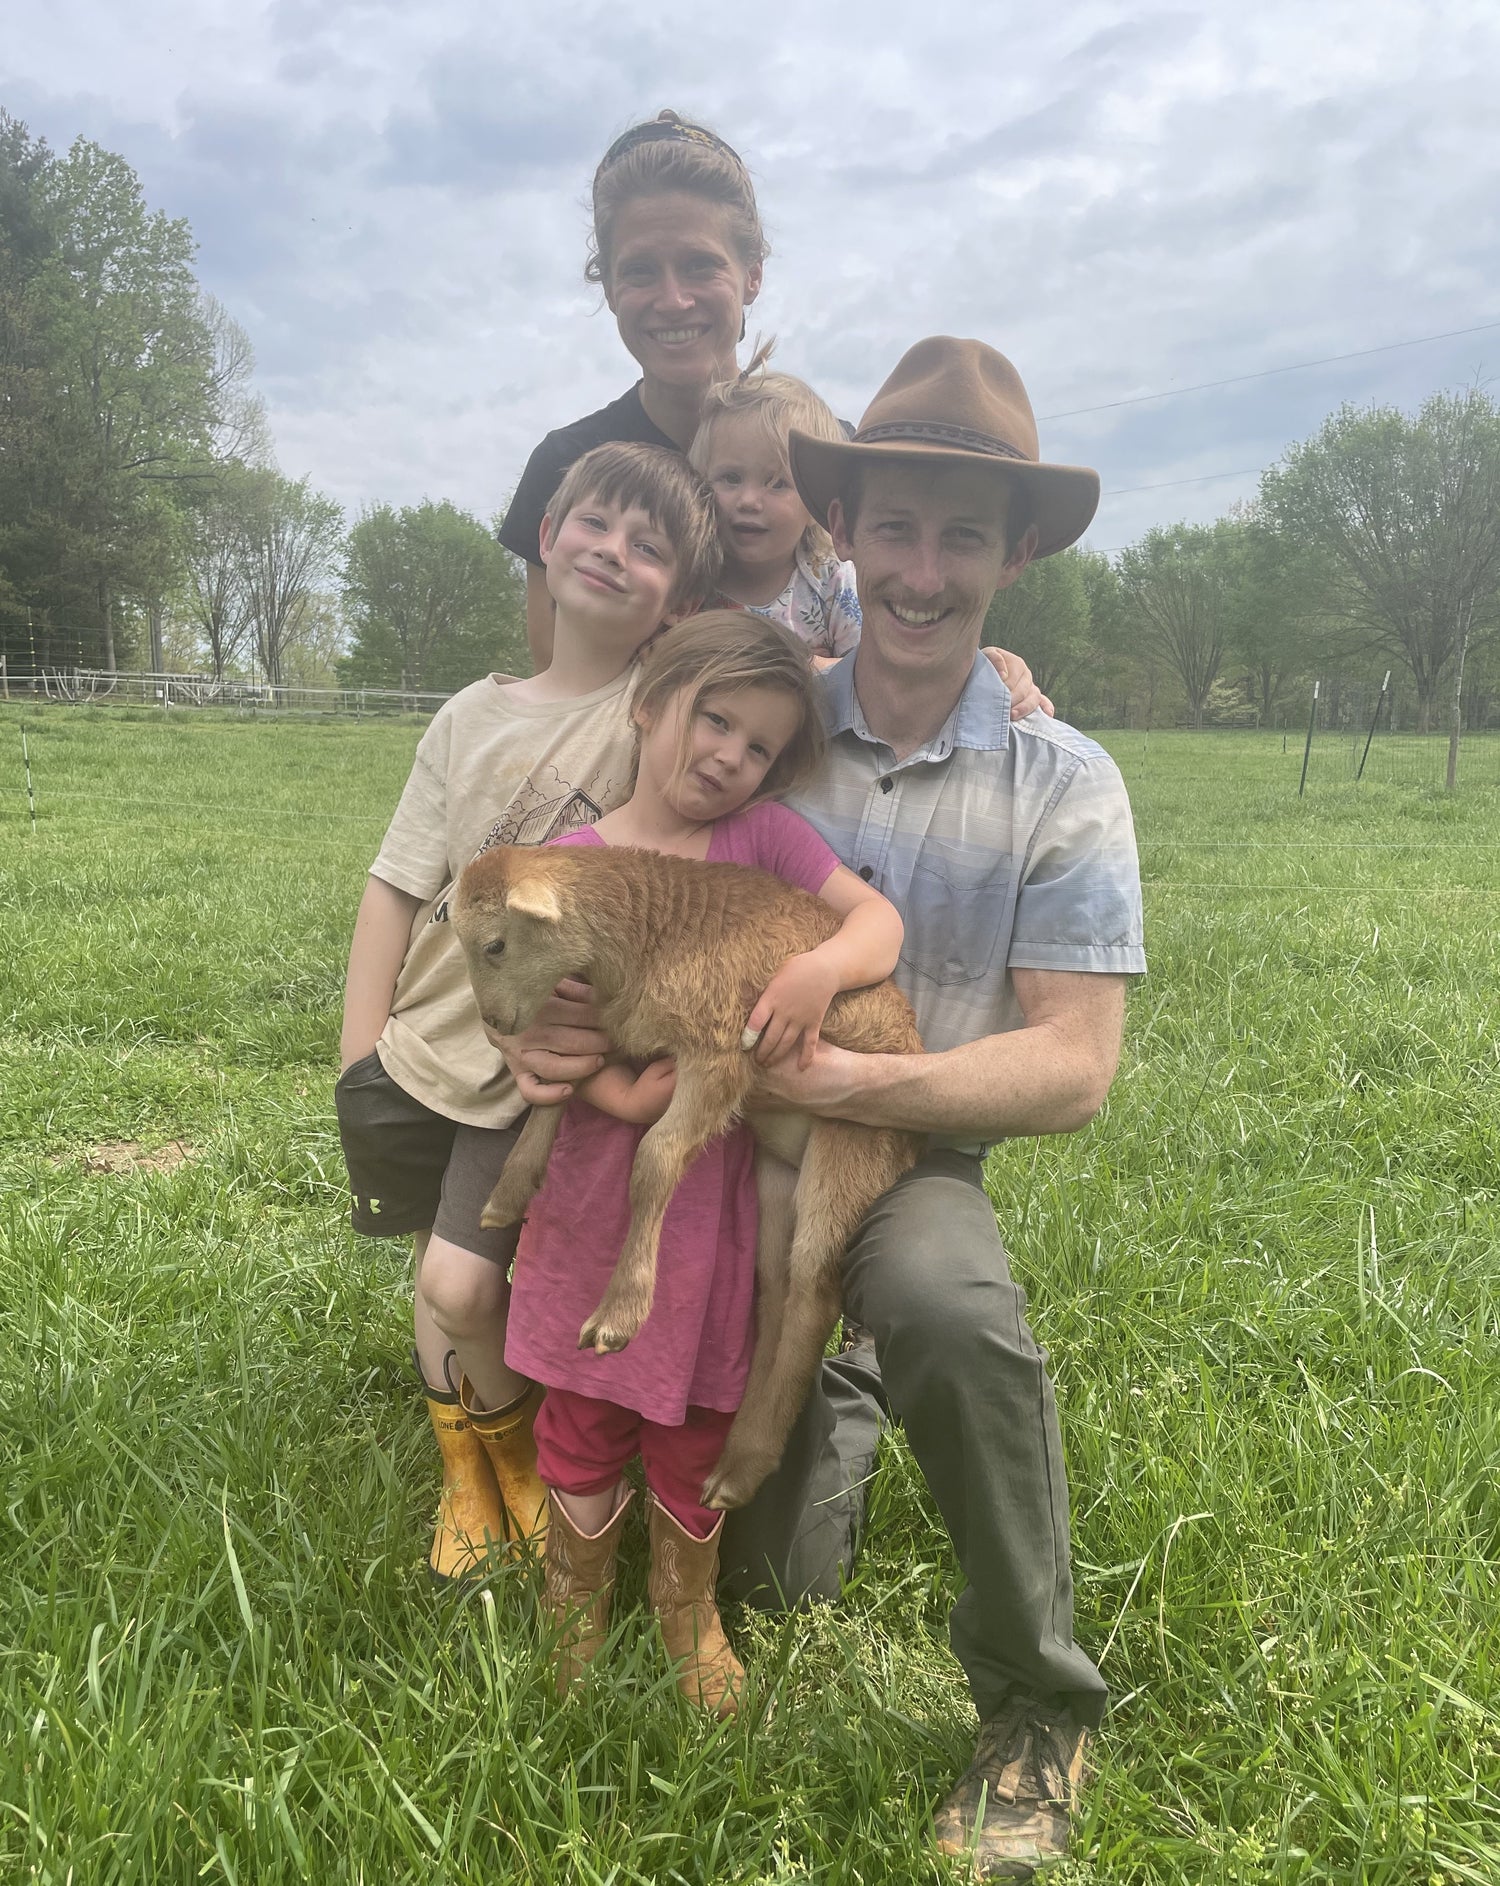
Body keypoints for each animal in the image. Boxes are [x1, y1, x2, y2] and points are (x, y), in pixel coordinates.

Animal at [454, 848, 928, 1508]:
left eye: (495, 944)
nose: (496, 1022)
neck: (647, 937)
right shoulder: (628, 1036)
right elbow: (560, 1088)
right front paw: (508, 1192)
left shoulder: (718, 1055)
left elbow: (654, 1158)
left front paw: (620, 1316)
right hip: (778, 1176)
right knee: (779, 1290)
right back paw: (735, 1459)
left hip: (852, 1148)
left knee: (816, 1291)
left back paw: (743, 1468)